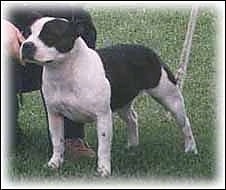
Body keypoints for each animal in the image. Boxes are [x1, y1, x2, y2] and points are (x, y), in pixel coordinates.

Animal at [20, 17, 198, 176]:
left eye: (50, 36)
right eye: (26, 34)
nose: (26, 45)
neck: (65, 70)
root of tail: (148, 51)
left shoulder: (103, 116)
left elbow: (103, 147)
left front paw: (104, 170)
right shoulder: (55, 115)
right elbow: (57, 141)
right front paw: (54, 164)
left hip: (170, 98)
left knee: (185, 123)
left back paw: (191, 149)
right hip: (122, 102)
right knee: (132, 118)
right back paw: (132, 146)